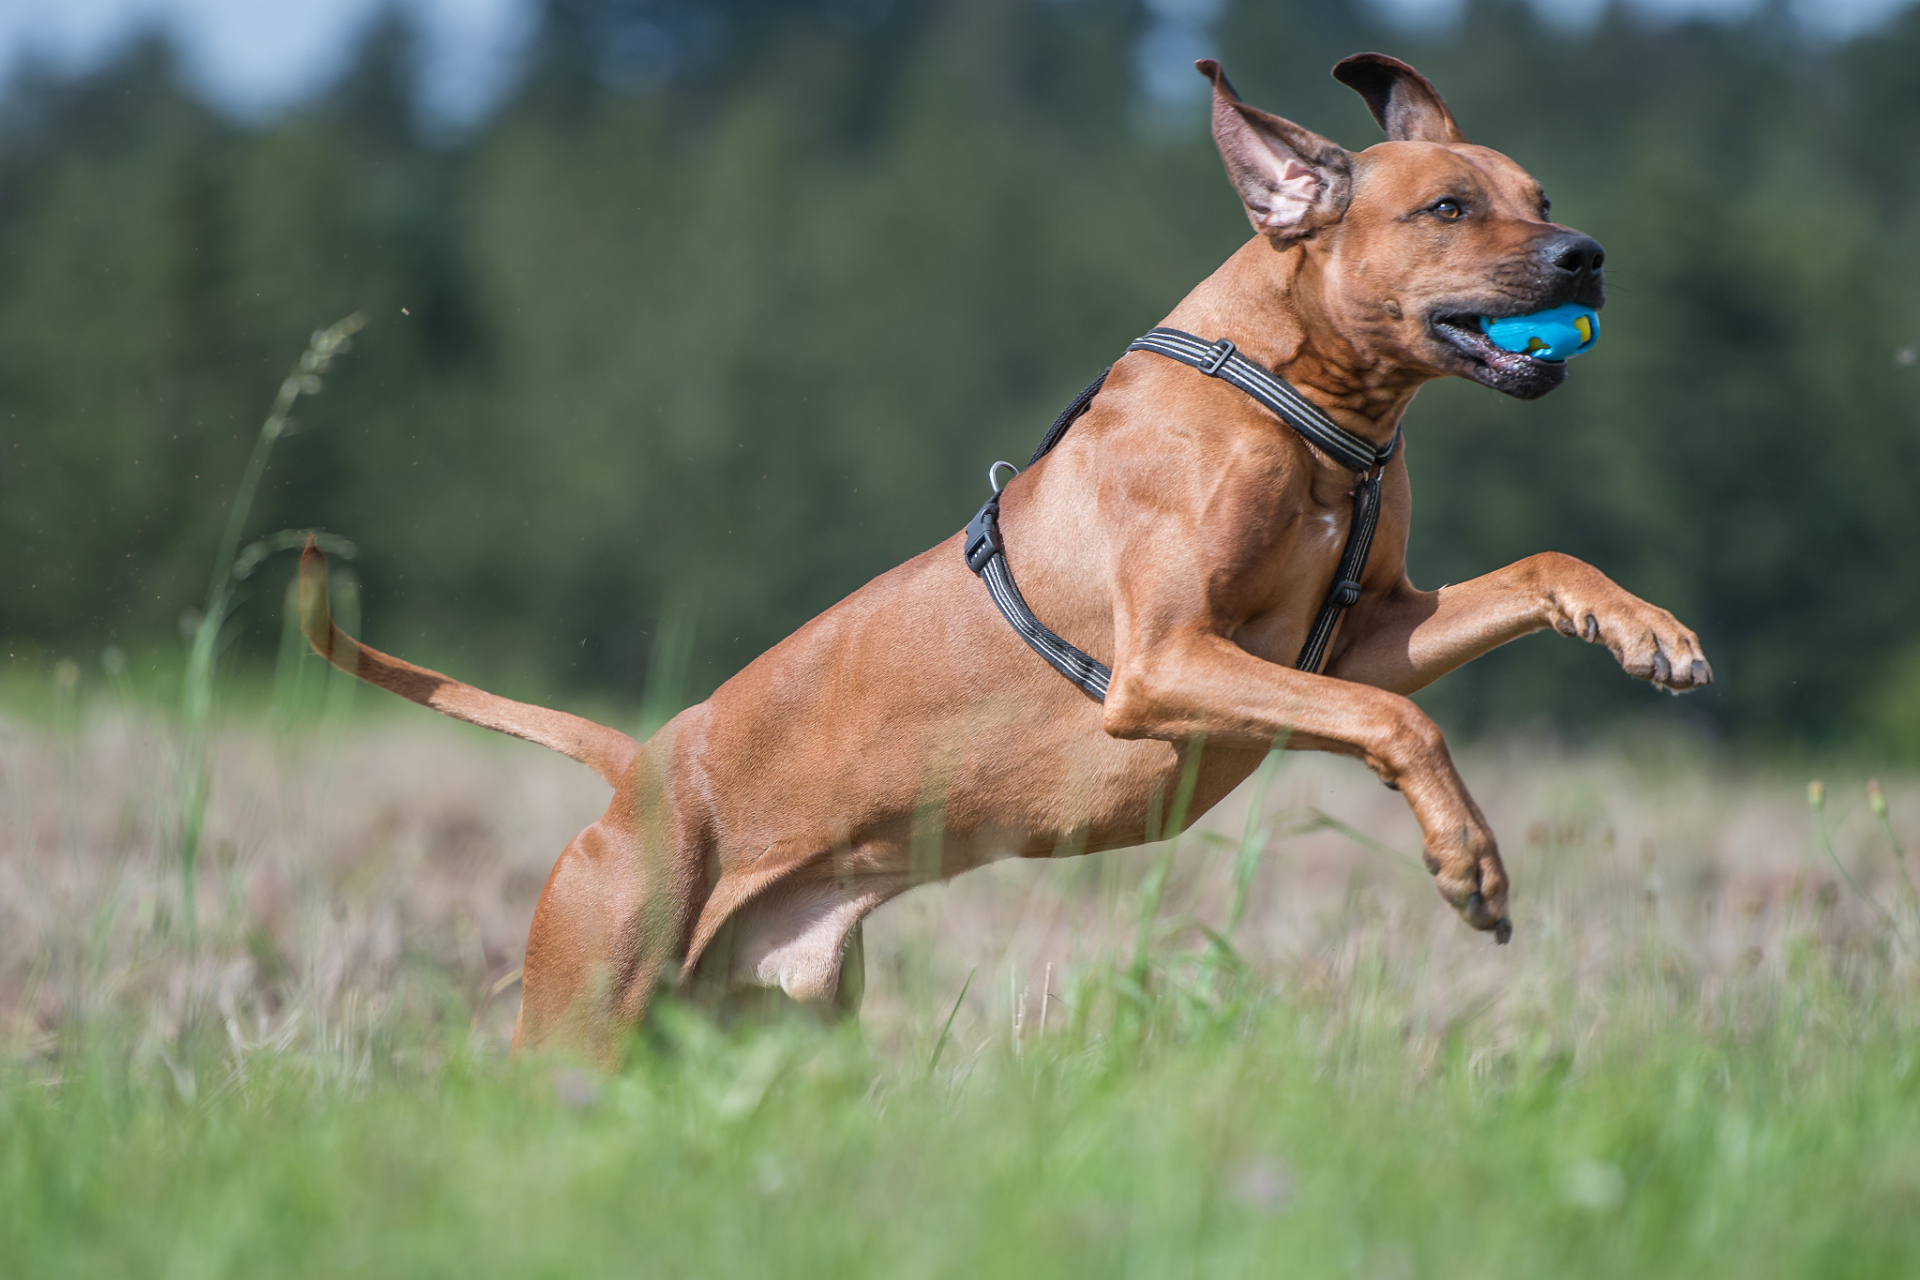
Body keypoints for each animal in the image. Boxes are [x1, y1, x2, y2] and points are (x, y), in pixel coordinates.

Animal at [295, 55, 1712, 1059]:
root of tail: (640, 768)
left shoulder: (1367, 634)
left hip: (771, 1034)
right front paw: (1468, 859)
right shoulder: (1167, 664)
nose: (1588, 254)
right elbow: (1396, 723)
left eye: (1541, 199)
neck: (1306, 407)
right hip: (584, 1006)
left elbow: (1528, 575)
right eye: (1449, 208)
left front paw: (1644, 627)